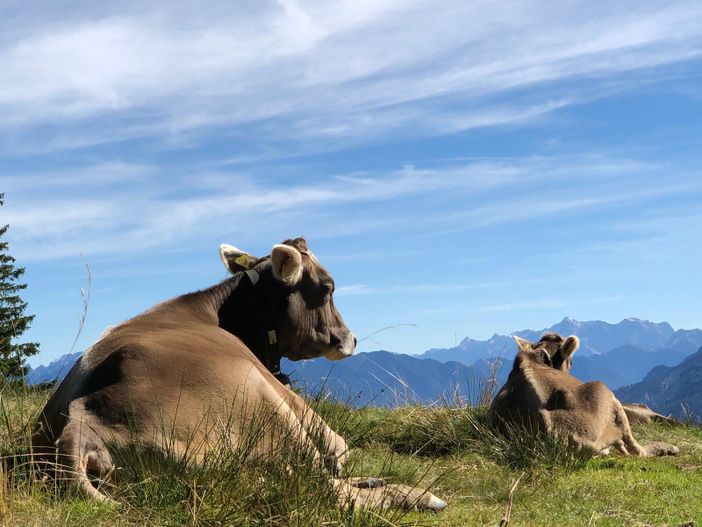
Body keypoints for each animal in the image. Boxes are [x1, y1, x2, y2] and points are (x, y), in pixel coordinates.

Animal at [33, 238, 448, 512]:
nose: (351, 338)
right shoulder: (282, 394)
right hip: (261, 403)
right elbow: (338, 446)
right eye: (328, 287)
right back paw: (417, 495)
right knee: (326, 489)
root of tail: (81, 423)